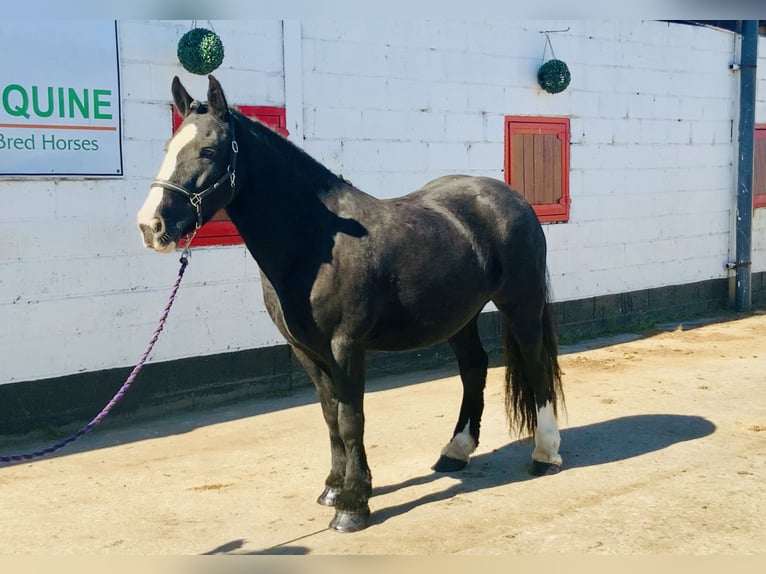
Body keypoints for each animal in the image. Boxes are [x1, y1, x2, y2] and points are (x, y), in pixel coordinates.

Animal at [138, 76, 568, 536]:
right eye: (168, 147)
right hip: (459, 316)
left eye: (208, 150)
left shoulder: (346, 347)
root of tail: (513, 200)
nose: (151, 226)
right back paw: (456, 450)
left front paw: (353, 505)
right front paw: (332, 488)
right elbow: (330, 416)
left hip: (520, 304)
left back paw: (545, 454)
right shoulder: (306, 350)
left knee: (536, 364)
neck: (314, 242)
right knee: (473, 368)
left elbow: (351, 418)